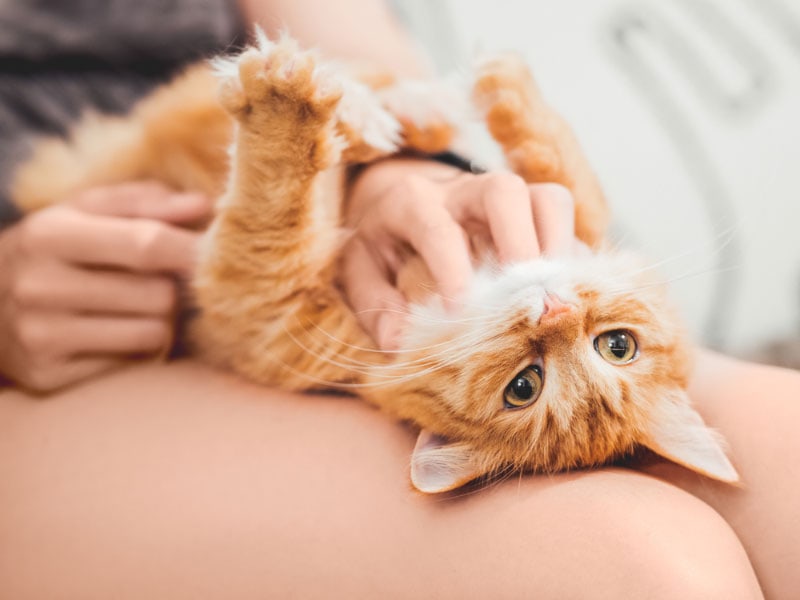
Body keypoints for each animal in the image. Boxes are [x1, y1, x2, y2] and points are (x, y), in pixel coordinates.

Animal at [12, 29, 736, 492]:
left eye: (523, 389)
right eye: (619, 346)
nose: (552, 309)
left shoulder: (262, 310)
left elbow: (276, 199)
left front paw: (286, 105)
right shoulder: (562, 210)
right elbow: (562, 165)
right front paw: (501, 82)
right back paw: (396, 109)